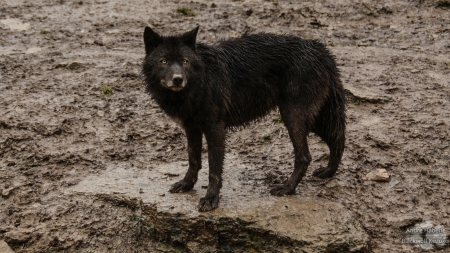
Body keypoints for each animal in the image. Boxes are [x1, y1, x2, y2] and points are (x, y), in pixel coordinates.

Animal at [142, 26, 346, 211]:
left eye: (184, 61)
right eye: (164, 61)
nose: (178, 79)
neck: (199, 81)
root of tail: (320, 49)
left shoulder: (215, 128)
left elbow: (214, 169)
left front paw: (211, 199)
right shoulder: (191, 128)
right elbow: (193, 161)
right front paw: (186, 185)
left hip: (293, 117)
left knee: (305, 156)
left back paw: (287, 188)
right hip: (314, 119)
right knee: (338, 139)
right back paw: (328, 172)